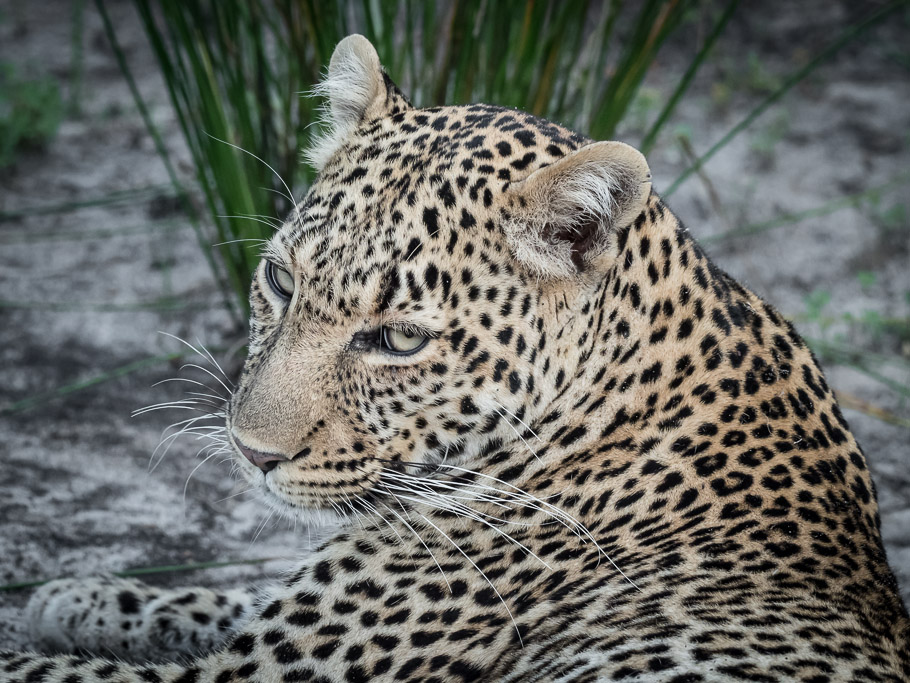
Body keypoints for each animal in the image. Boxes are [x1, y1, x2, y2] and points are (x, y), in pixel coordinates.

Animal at [3, 34, 908, 682]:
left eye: (400, 338)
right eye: (280, 280)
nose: (251, 453)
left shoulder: (256, 672)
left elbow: (59, 671)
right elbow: (226, 595)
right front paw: (78, 594)